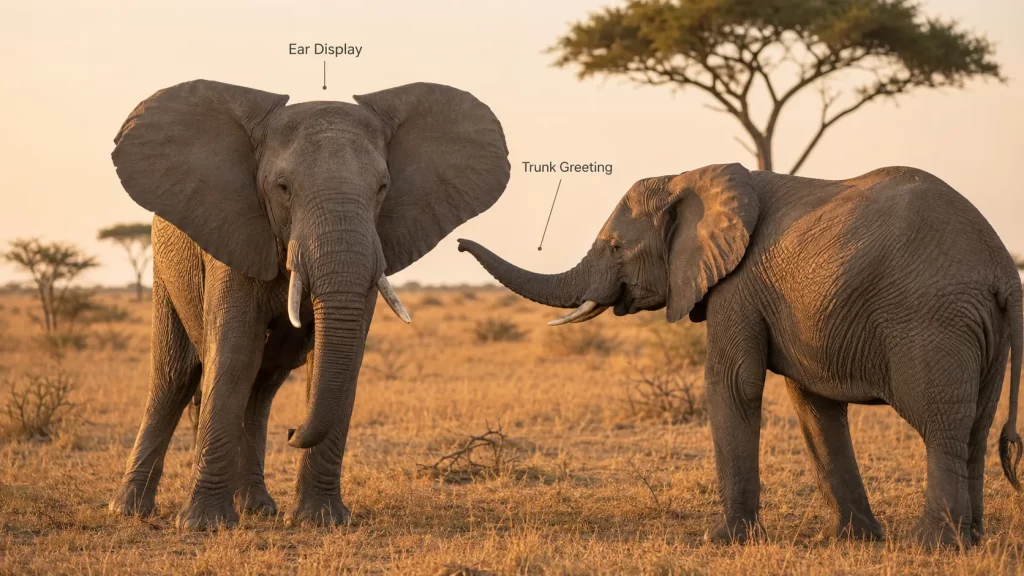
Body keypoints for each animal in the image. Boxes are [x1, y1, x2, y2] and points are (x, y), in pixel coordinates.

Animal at [107, 79, 510, 529]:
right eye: (283, 188)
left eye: (382, 188)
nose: (292, 433)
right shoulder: (236, 233)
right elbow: (233, 353)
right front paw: (204, 526)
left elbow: (337, 362)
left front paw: (322, 520)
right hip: (165, 269)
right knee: (174, 379)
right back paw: (129, 509)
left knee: (261, 388)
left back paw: (257, 507)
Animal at [457, 163, 1022, 547]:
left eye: (616, 247)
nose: (460, 244)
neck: (688, 175)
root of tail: (1001, 267)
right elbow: (813, 405)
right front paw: (852, 540)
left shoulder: (739, 285)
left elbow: (733, 383)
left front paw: (722, 540)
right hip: (982, 330)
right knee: (974, 429)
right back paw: (969, 542)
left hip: (934, 320)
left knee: (941, 426)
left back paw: (933, 545)